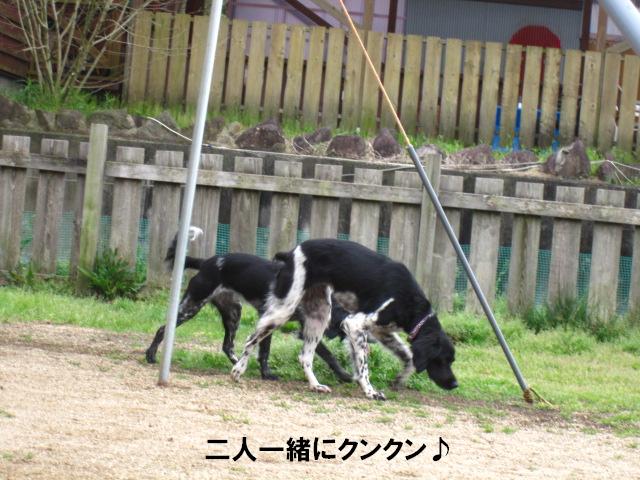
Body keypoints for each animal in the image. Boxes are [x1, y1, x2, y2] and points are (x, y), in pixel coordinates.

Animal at [145, 230, 353, 382]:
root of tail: (206, 263)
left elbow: (265, 351)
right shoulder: (282, 323)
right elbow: (324, 353)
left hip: (233, 312)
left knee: (227, 345)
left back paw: (237, 363)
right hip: (191, 306)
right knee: (163, 329)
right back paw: (150, 355)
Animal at [231, 238, 457, 400]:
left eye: (451, 360)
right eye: (441, 359)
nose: (455, 385)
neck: (409, 300)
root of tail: (290, 253)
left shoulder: (381, 331)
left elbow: (407, 356)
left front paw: (399, 379)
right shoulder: (354, 324)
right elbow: (364, 367)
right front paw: (370, 391)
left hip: (320, 316)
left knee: (305, 356)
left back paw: (315, 385)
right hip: (284, 310)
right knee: (251, 339)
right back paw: (238, 370)